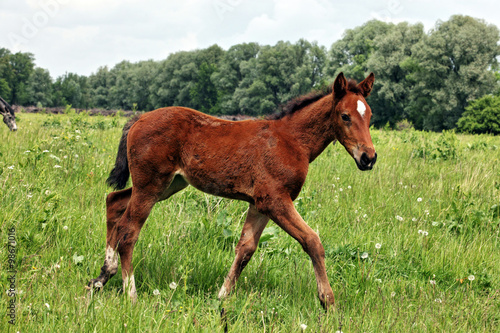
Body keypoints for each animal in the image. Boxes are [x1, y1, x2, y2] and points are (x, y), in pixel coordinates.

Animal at [88, 71, 376, 308]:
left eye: (370, 116)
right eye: (345, 116)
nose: (369, 158)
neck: (292, 141)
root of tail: (139, 118)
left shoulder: (259, 204)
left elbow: (246, 248)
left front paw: (222, 296)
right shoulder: (275, 200)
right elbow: (312, 241)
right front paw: (328, 301)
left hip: (167, 185)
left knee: (114, 201)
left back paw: (102, 276)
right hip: (150, 185)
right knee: (128, 231)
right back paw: (131, 294)